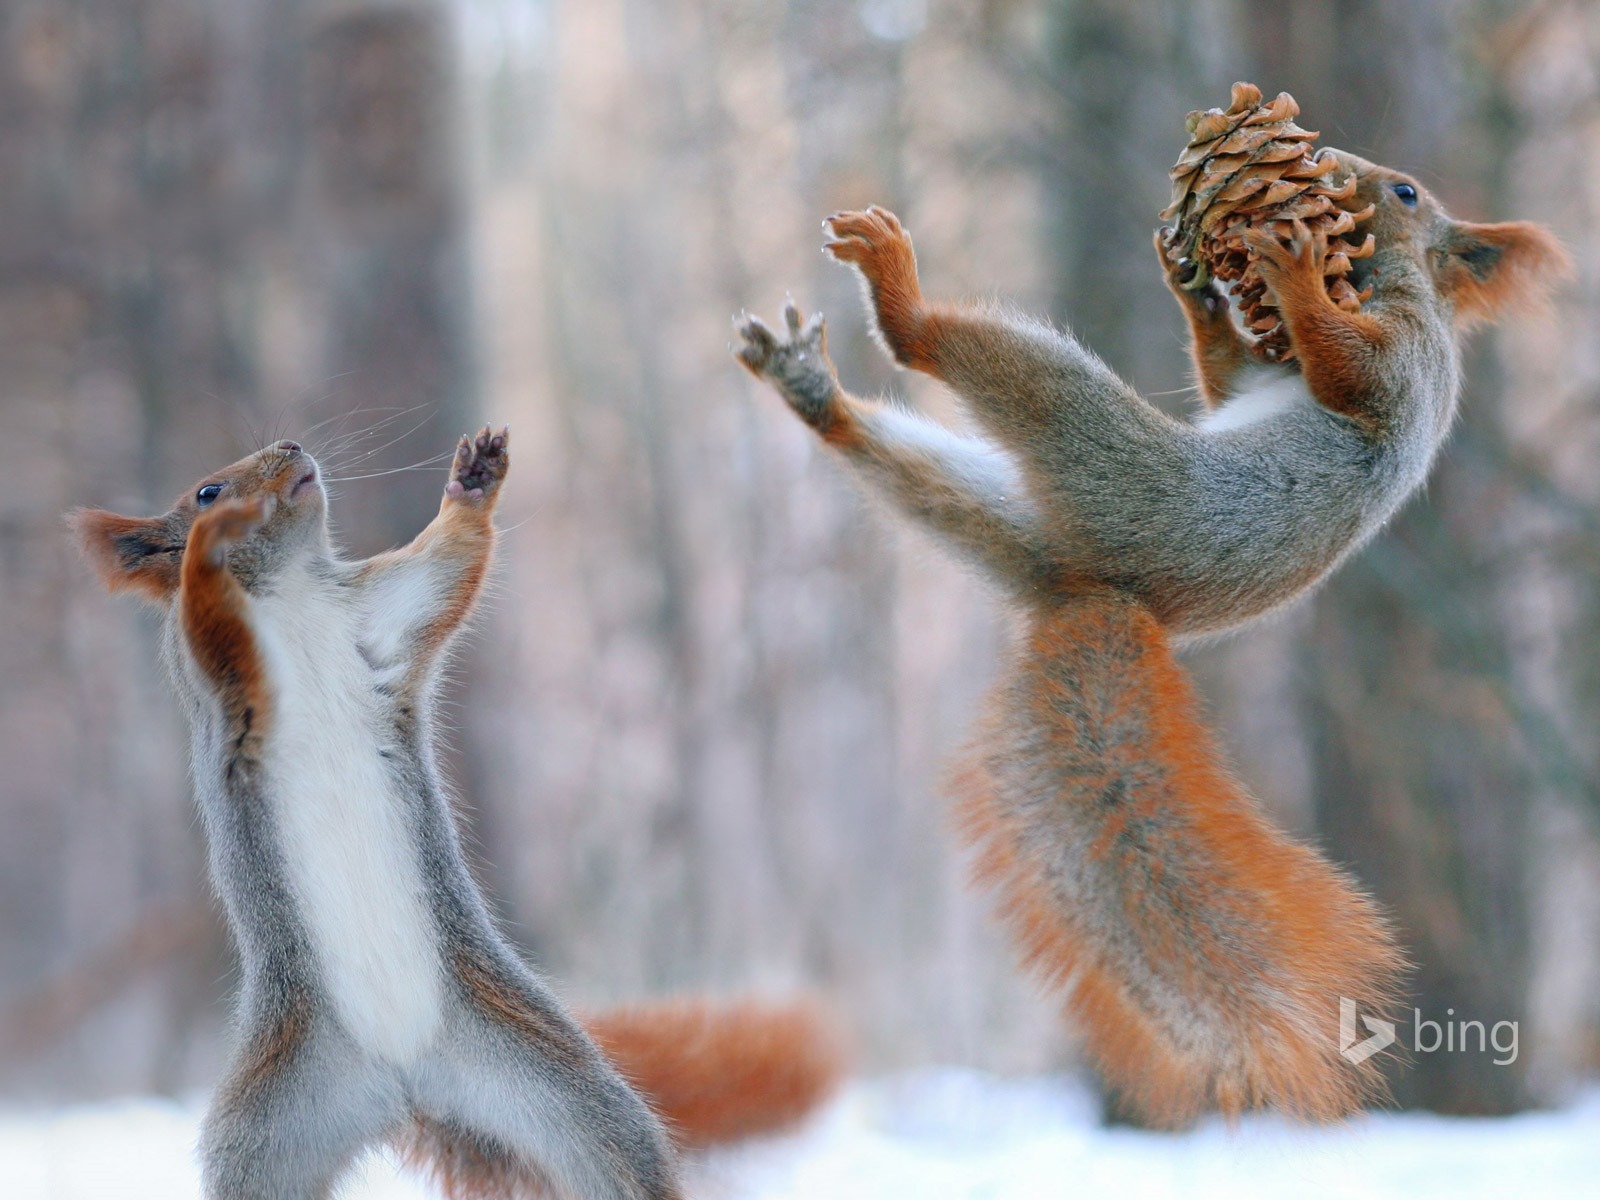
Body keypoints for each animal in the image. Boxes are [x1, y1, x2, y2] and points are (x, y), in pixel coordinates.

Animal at [72, 432, 851, 1200]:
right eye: (205, 492)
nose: (291, 446)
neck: (287, 590)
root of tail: (404, 1083)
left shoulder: (380, 613)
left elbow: (444, 568)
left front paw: (474, 481)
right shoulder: (216, 673)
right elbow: (209, 615)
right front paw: (209, 545)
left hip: (548, 1076)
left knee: (614, 1152)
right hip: (269, 1131)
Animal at [732, 152, 1561, 1126]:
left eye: (1404, 195)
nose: (1337, 170)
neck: (1379, 282)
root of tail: (1101, 591)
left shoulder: (1405, 359)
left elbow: (1351, 372)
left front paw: (1288, 272)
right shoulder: (1258, 378)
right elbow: (1226, 380)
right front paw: (1198, 290)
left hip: (1100, 449)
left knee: (945, 353)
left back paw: (899, 297)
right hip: (1006, 512)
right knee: (919, 472)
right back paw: (812, 391)